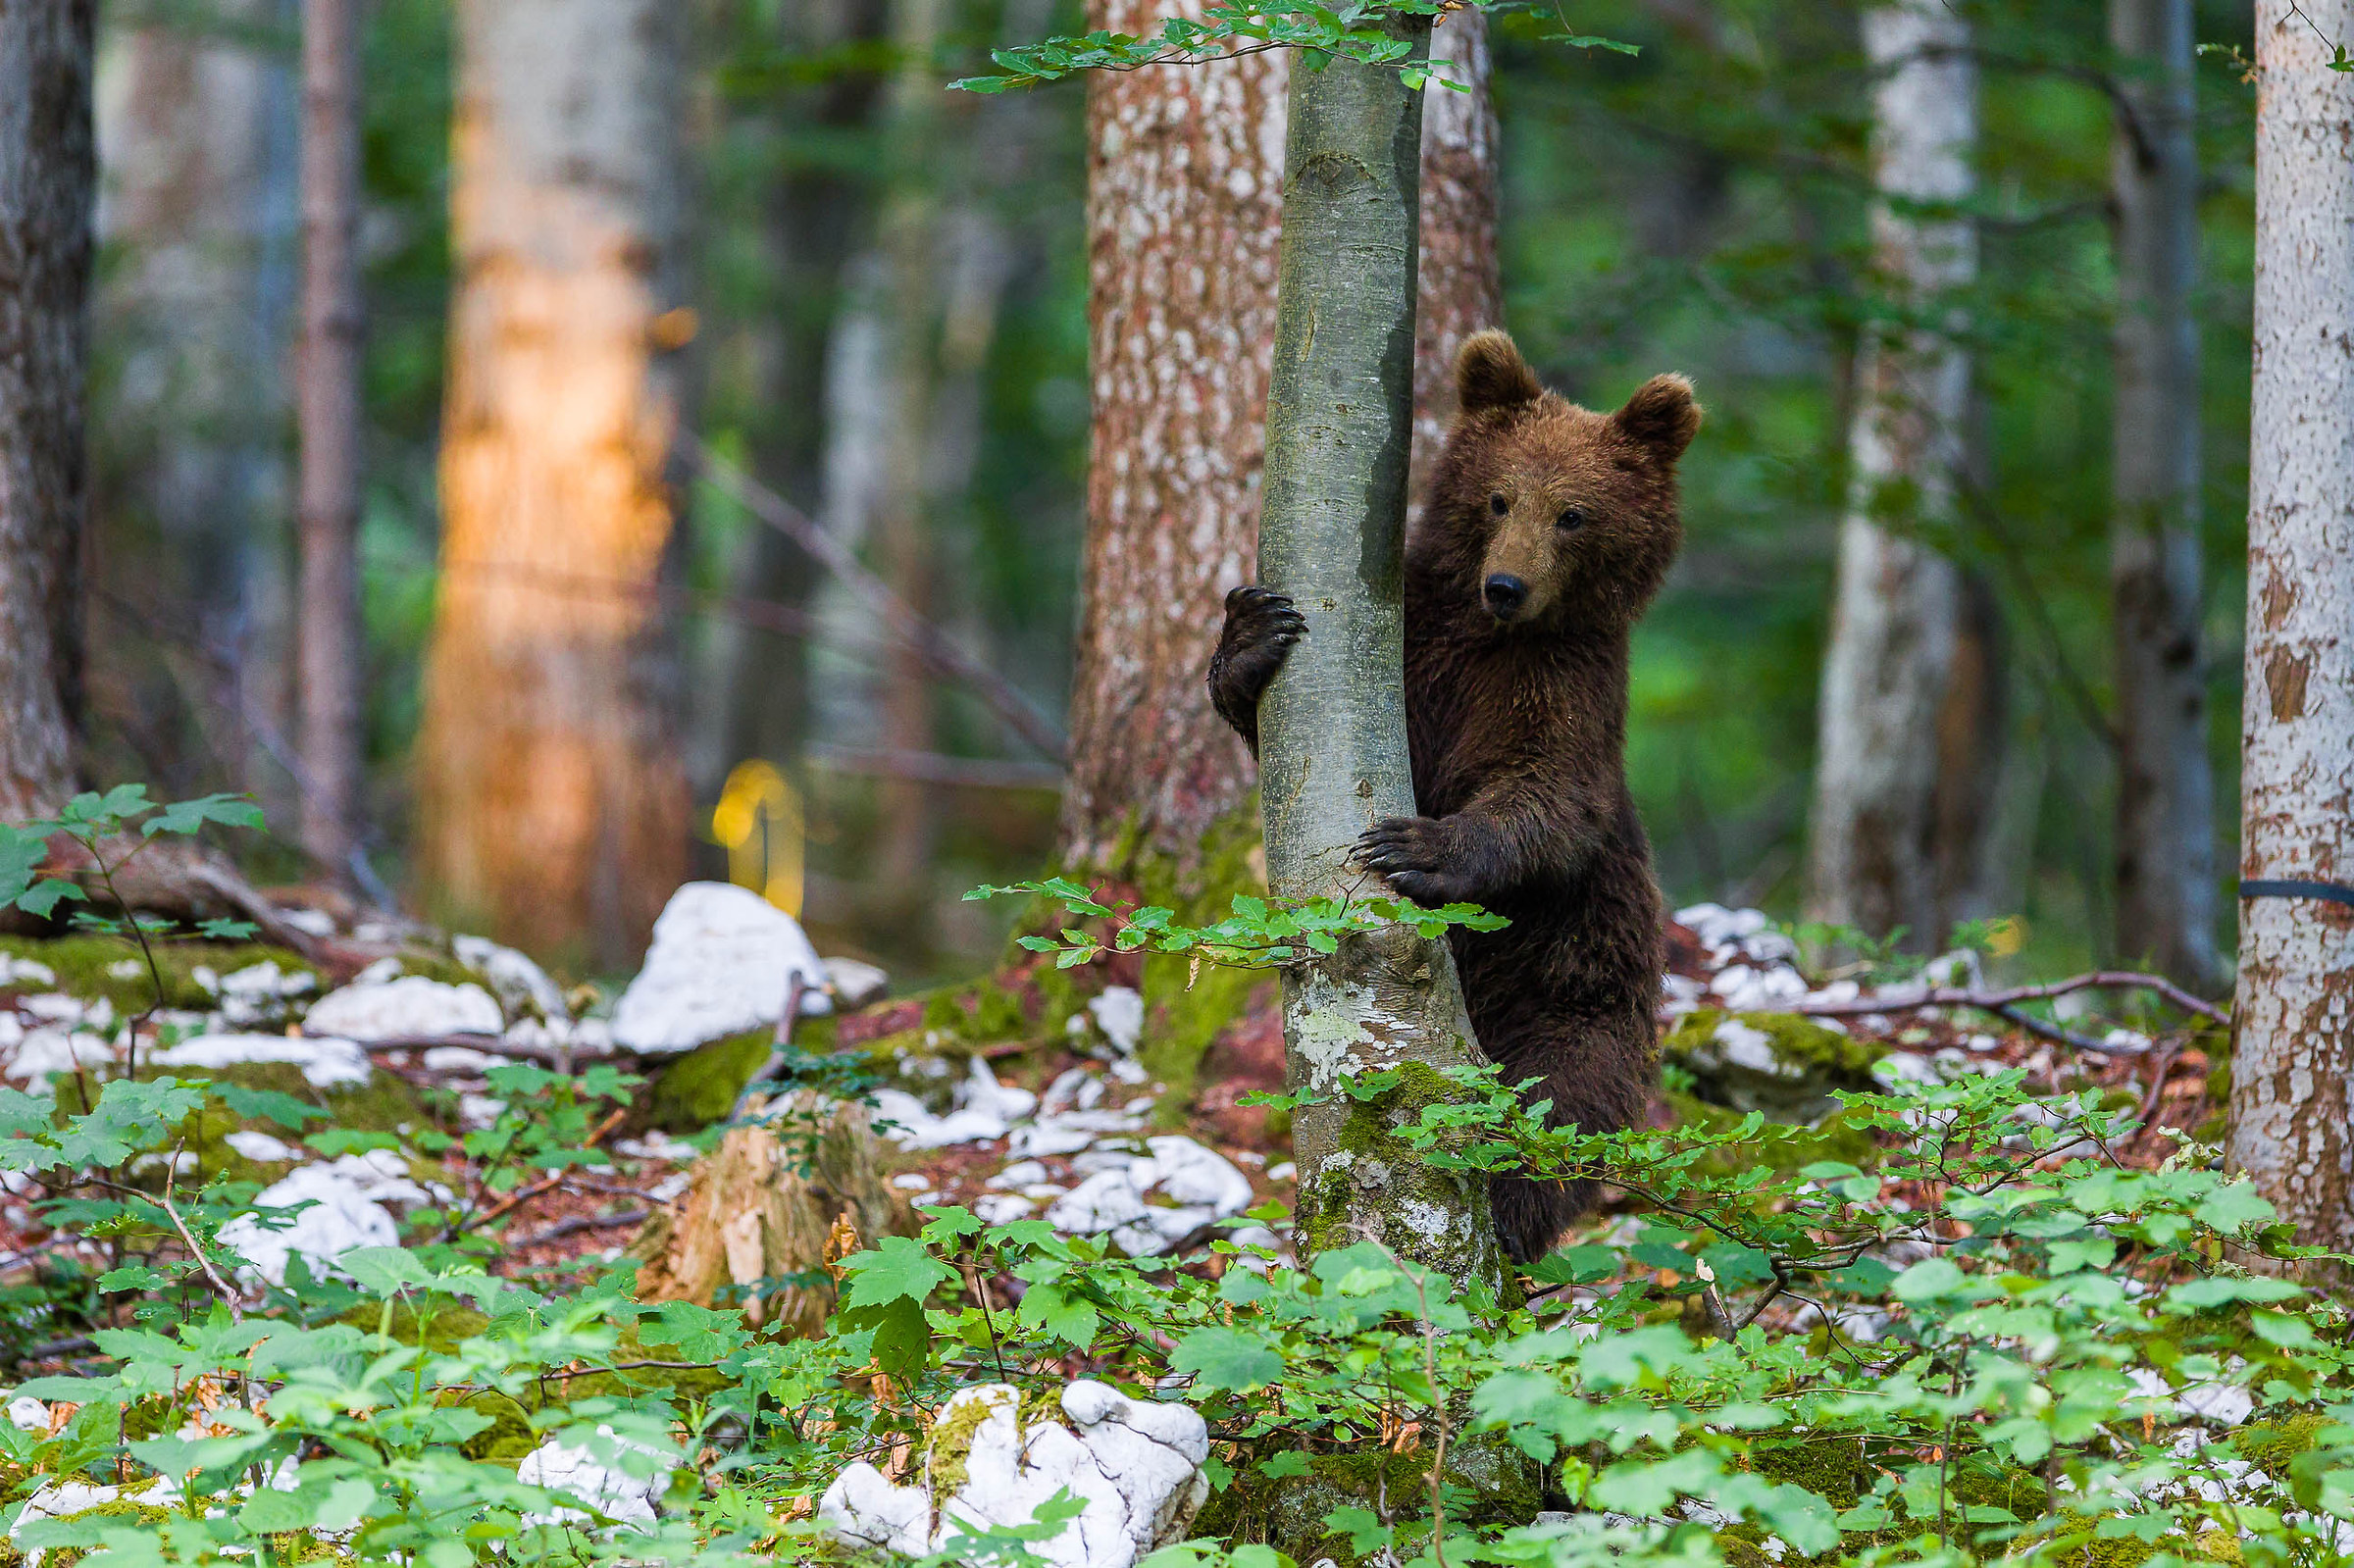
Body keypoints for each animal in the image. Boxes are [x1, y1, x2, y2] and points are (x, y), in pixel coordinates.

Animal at [1207, 329, 1699, 1264]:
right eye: (1499, 497)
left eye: (1573, 512)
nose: (1506, 585)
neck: (1493, 639)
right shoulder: (1420, 650)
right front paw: (1252, 630)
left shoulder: (1559, 686)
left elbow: (1551, 798)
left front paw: (1417, 845)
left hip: (1574, 998)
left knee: (1546, 1116)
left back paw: (1504, 1224)